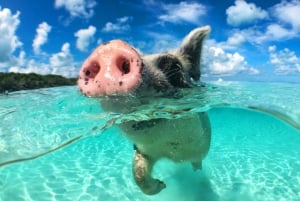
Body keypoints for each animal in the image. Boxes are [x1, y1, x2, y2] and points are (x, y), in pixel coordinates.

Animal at [78, 25, 212, 196]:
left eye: (174, 66)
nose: (109, 48)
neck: (173, 152)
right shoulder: (143, 150)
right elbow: (138, 173)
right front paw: (162, 185)